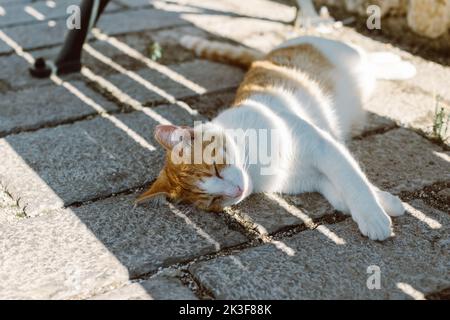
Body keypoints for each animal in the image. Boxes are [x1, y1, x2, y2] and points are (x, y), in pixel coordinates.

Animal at [136, 35, 414, 240]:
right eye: (213, 200)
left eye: (215, 168)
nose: (237, 191)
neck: (256, 168)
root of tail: (264, 57)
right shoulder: (313, 178)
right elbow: (341, 191)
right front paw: (385, 202)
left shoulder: (322, 146)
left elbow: (353, 182)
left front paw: (373, 215)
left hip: (342, 54)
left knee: (368, 57)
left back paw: (399, 64)